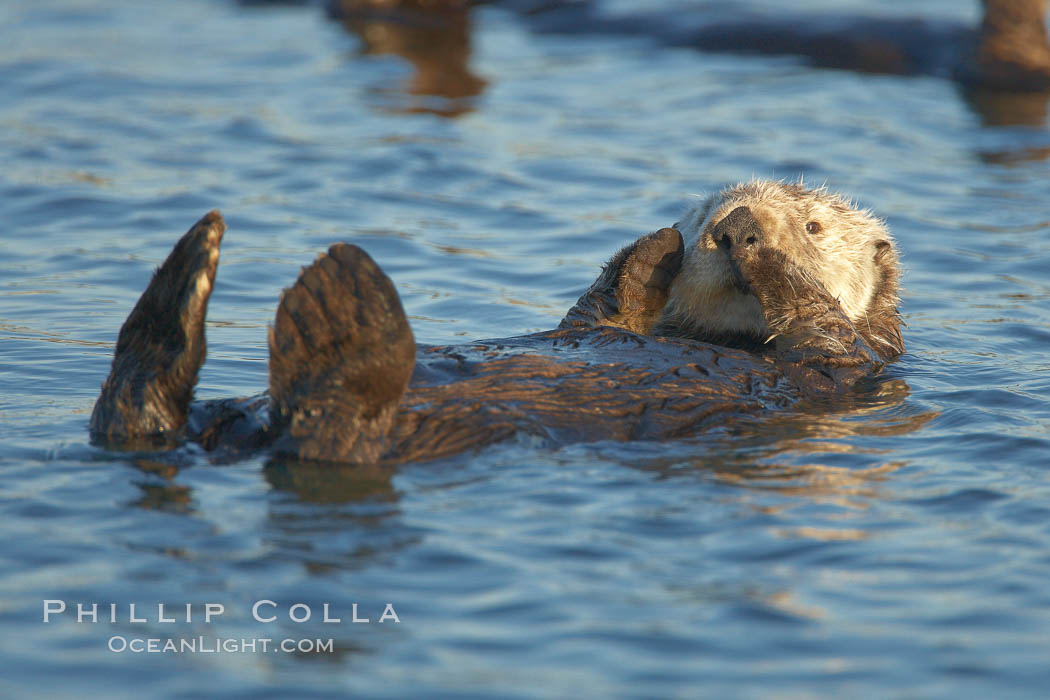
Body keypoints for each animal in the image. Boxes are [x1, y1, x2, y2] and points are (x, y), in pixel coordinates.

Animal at [90, 180, 902, 465]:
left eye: (815, 225)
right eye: (705, 213)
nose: (735, 228)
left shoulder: (846, 367)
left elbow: (823, 326)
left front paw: (772, 260)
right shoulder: (604, 319)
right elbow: (599, 310)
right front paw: (653, 248)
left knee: (330, 432)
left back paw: (338, 309)